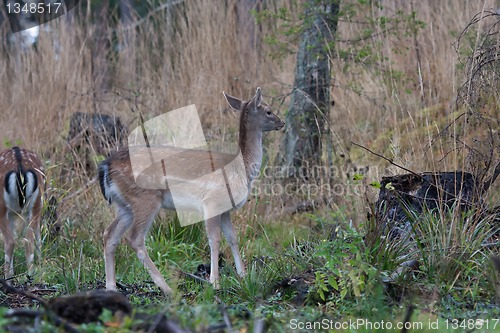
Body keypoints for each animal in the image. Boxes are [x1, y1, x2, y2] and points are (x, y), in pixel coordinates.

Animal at [0, 147, 45, 278]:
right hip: (36, 205)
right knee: (30, 240)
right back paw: (32, 274)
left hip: (2, 207)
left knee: (10, 241)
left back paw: (8, 277)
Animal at [99, 87, 284, 292]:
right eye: (268, 111)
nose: (282, 122)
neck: (240, 168)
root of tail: (106, 166)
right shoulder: (212, 202)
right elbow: (214, 240)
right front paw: (215, 282)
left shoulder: (225, 209)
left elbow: (233, 238)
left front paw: (243, 275)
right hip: (145, 199)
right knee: (134, 238)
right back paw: (166, 288)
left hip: (124, 205)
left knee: (109, 235)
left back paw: (111, 287)